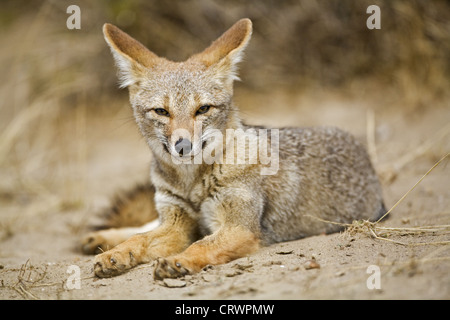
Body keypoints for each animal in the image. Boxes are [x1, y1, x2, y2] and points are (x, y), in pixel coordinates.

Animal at [82, 18, 384, 278]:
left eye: (203, 109)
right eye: (162, 111)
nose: (183, 146)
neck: (192, 186)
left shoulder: (240, 227)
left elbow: (201, 244)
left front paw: (179, 261)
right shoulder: (176, 223)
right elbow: (140, 238)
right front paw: (117, 254)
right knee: (141, 226)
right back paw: (100, 239)